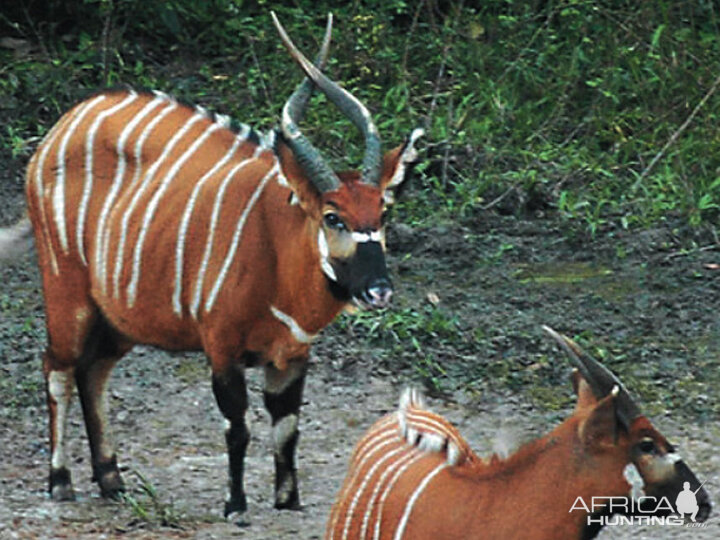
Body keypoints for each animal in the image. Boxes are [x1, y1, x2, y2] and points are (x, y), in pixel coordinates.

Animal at [0, 13, 424, 520]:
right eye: (332, 216)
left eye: (383, 213)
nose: (379, 290)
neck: (277, 254)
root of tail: (55, 134)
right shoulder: (221, 347)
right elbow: (236, 426)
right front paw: (235, 504)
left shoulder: (293, 355)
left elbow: (287, 429)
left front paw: (288, 501)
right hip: (67, 291)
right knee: (58, 366)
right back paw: (61, 480)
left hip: (120, 318)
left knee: (93, 370)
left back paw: (112, 479)